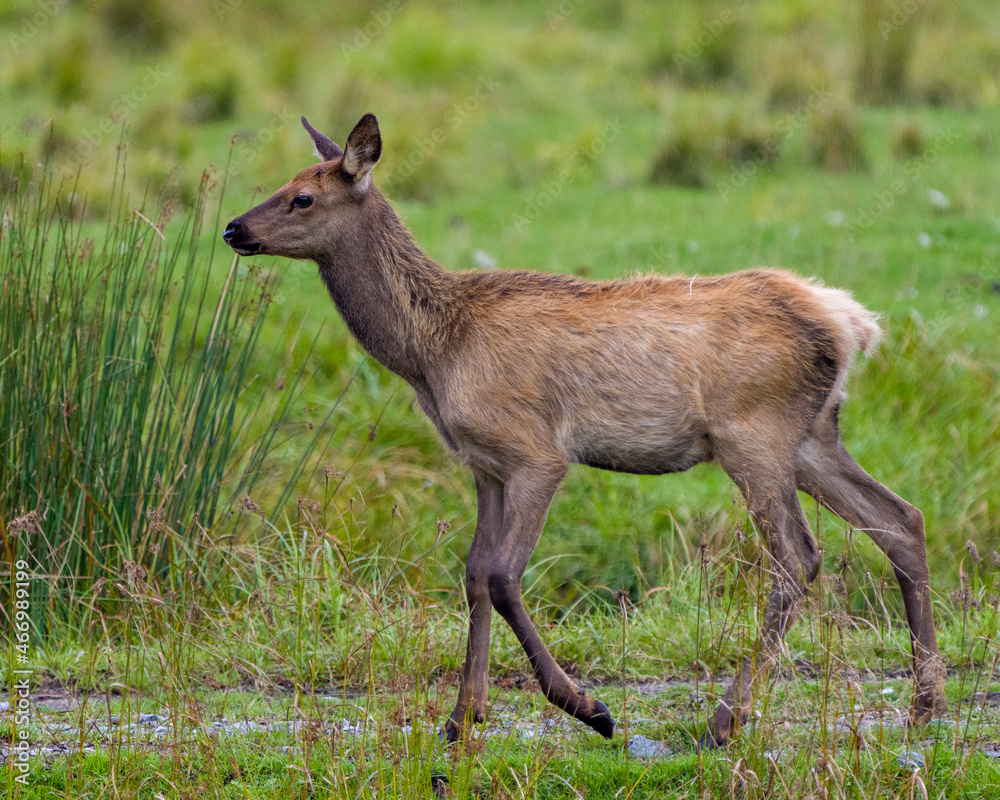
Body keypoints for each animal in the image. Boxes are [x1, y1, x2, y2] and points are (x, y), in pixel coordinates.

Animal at [223, 113, 945, 748]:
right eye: (283, 183)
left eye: (303, 196)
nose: (233, 227)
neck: (431, 353)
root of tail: (852, 325)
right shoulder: (482, 465)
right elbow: (473, 573)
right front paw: (461, 718)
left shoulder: (535, 453)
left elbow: (503, 576)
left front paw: (588, 708)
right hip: (814, 436)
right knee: (900, 519)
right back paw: (924, 706)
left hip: (754, 435)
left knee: (798, 556)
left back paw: (723, 721)